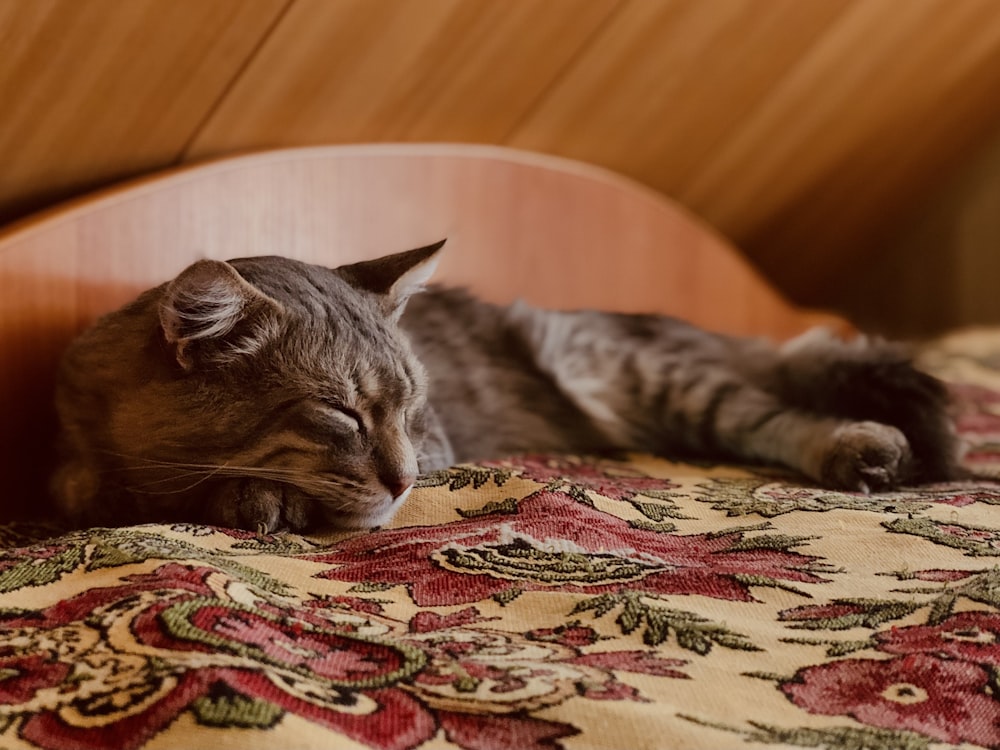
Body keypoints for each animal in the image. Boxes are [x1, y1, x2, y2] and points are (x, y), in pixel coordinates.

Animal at [52, 242, 960, 536]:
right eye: (342, 414)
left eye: (413, 408)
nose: (404, 481)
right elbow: (92, 491)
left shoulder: (438, 444)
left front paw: (254, 499)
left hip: (651, 375)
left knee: (775, 414)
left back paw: (859, 447)